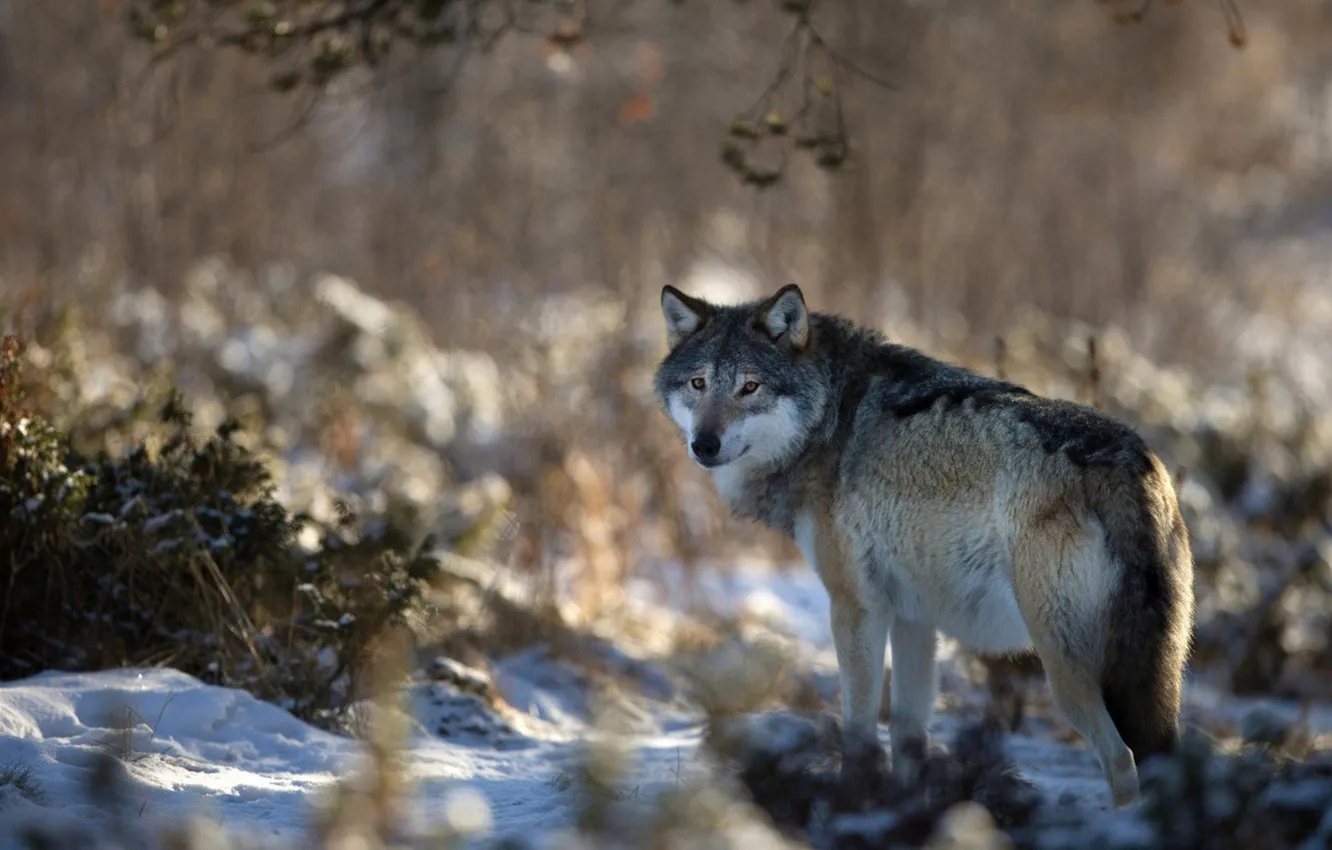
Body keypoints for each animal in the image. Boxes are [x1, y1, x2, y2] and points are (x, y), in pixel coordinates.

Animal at [653, 283, 1195, 807]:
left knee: (1121, 759)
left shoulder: (855, 608)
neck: (830, 416)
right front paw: (904, 807)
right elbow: (908, 736)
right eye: (698, 384)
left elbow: (859, 730)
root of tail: (1128, 464)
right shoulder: (914, 617)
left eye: (750, 387)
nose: (704, 444)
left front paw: (853, 804)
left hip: (1063, 673)